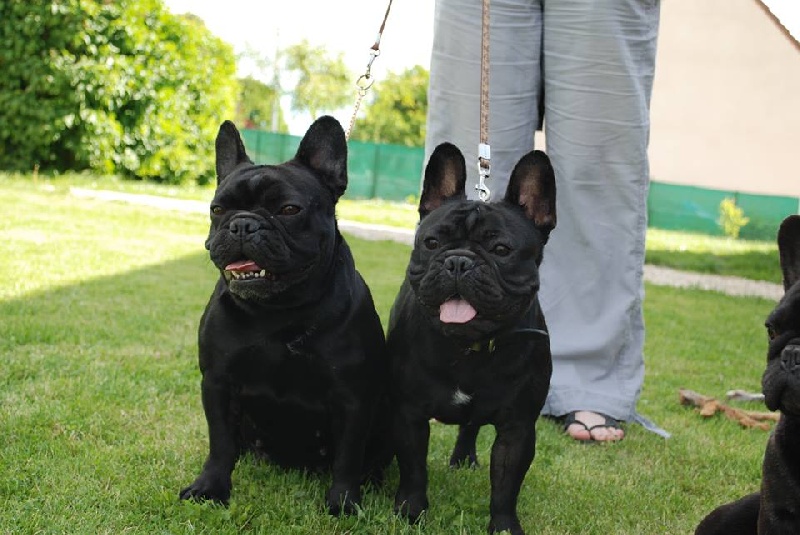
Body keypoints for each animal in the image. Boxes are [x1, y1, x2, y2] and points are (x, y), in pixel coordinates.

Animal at [179, 116, 392, 515]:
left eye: (289, 210)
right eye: (218, 210)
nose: (242, 224)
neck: (278, 310)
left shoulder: (352, 398)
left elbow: (347, 457)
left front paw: (343, 503)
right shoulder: (217, 382)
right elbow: (219, 443)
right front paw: (210, 487)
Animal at [386, 142, 556, 535]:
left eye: (501, 251)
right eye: (431, 242)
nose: (459, 261)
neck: (470, 347)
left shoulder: (517, 428)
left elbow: (506, 483)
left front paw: (505, 527)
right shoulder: (408, 413)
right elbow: (413, 468)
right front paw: (411, 511)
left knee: (471, 425)